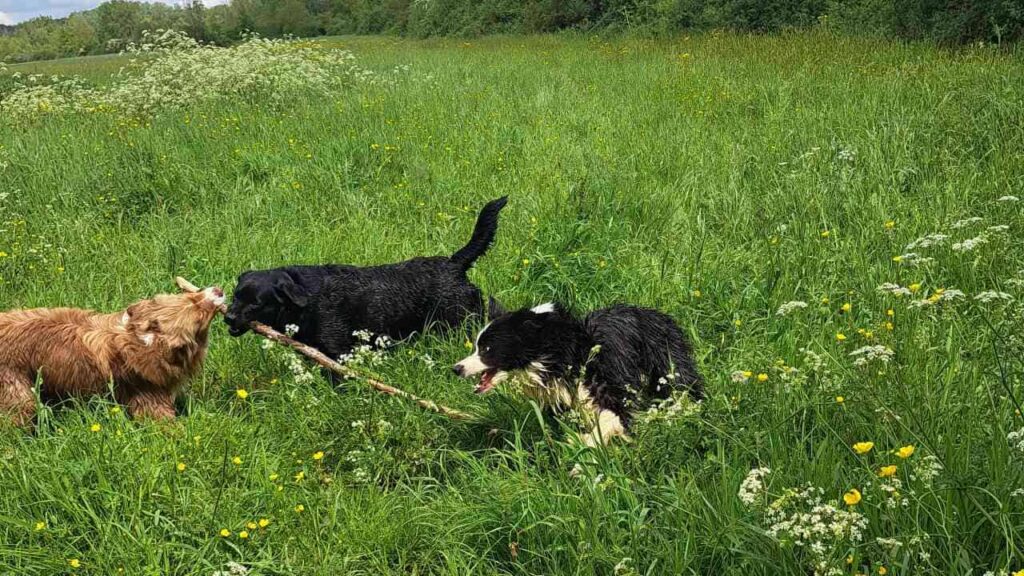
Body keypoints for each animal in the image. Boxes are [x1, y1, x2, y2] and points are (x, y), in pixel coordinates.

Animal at [227, 198, 507, 358]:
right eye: (234, 296)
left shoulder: (338, 352)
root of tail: (454, 262)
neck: (307, 296)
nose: (228, 316)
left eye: (256, 303)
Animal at [452, 301, 700, 444]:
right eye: (476, 346)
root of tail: (655, 313)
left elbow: (611, 419)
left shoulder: (611, 387)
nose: (456, 368)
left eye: (487, 349)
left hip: (667, 359)